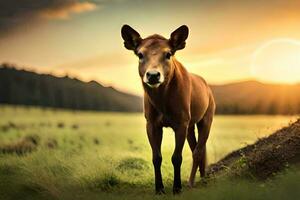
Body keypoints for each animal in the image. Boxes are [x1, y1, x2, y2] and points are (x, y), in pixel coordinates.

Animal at [120, 24, 217, 195]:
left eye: (168, 54)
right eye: (140, 54)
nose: (153, 75)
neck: (162, 103)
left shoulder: (181, 122)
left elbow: (176, 157)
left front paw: (177, 187)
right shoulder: (152, 123)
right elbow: (156, 157)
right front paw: (159, 188)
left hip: (207, 117)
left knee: (198, 150)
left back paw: (192, 181)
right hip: (191, 125)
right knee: (198, 148)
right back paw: (202, 176)